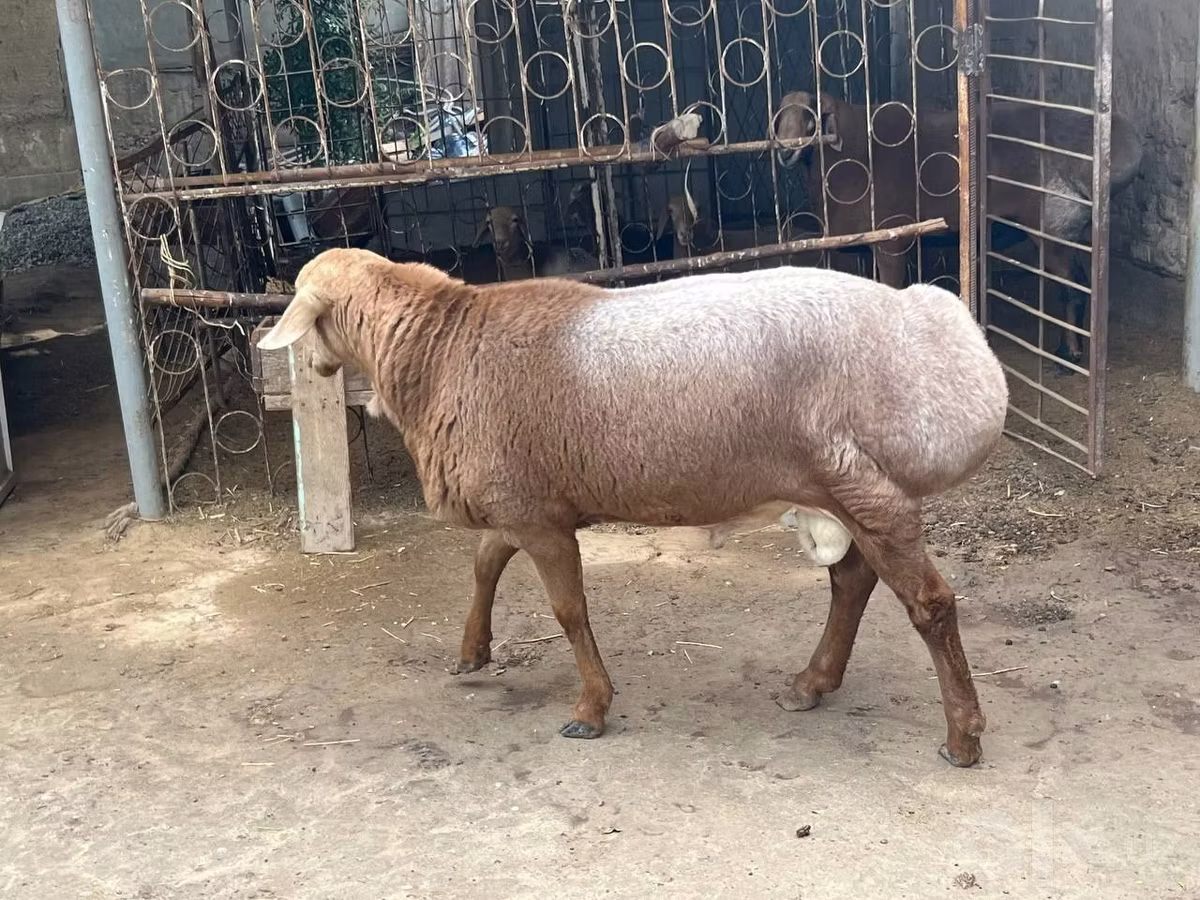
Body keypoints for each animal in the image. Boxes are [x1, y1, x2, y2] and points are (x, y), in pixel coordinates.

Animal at [256, 247, 1009, 768]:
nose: (315, 369)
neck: (437, 351)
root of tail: (953, 340)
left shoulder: (536, 515)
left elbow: (568, 610)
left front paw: (591, 709)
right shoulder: (524, 499)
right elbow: (485, 561)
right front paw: (472, 651)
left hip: (864, 484)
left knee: (929, 605)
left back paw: (963, 737)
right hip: (842, 490)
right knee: (852, 581)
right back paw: (810, 683)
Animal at [776, 89, 1144, 364]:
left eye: (811, 114)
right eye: (779, 116)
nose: (785, 152)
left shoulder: (893, 239)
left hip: (1053, 228)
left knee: (1074, 288)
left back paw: (1069, 354)